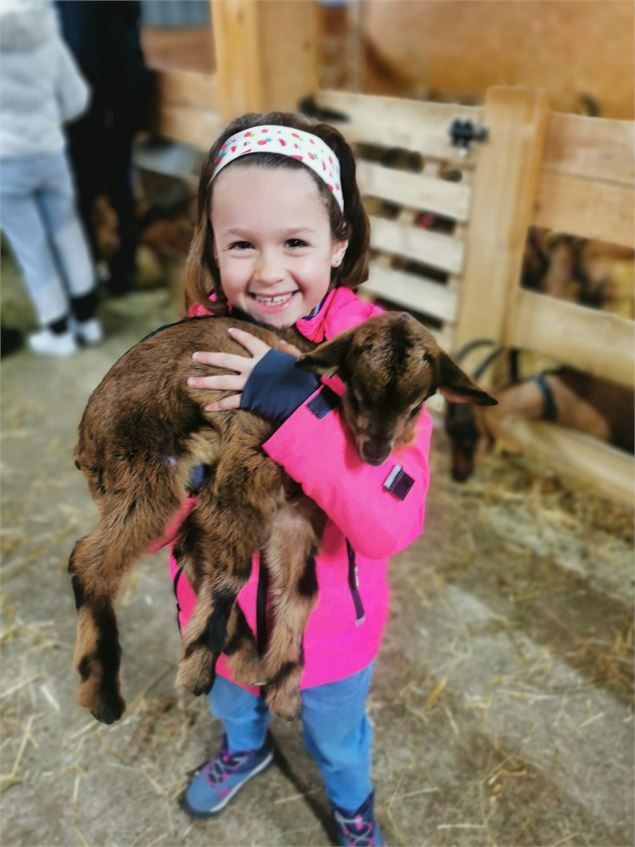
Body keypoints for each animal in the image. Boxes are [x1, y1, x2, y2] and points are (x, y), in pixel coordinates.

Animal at [71, 312, 496, 724]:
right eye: (358, 393)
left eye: (416, 406)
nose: (376, 453)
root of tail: (85, 438)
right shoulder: (245, 474)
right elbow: (235, 575)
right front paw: (198, 674)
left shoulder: (296, 514)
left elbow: (301, 590)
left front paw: (285, 691)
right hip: (145, 465)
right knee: (91, 559)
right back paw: (105, 696)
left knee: (185, 547)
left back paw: (244, 655)